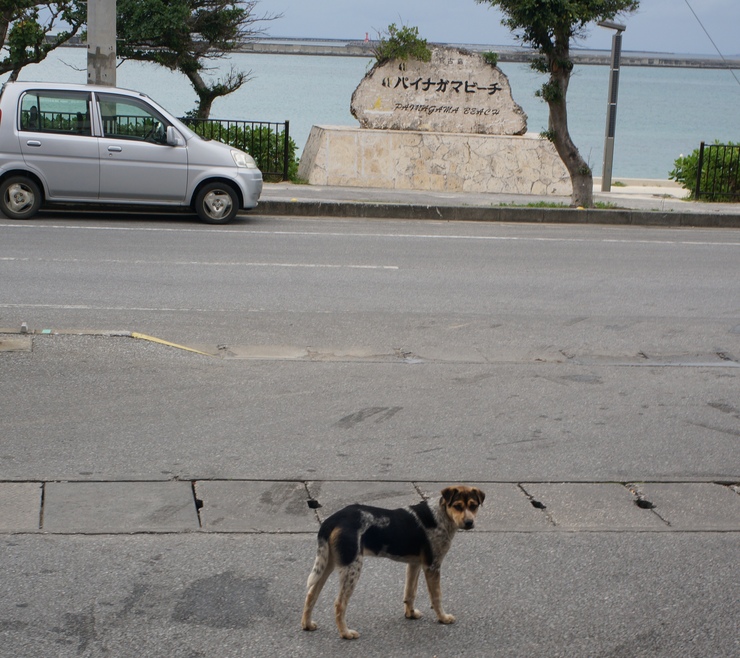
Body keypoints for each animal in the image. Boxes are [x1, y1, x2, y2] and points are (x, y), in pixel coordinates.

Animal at [300, 482, 486, 636]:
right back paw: (346, 633)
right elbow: (436, 596)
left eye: (474, 506)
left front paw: (410, 614)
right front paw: (443, 618)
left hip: (328, 564)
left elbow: (410, 593)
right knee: (339, 604)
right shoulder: (432, 566)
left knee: (311, 594)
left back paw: (307, 625)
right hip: (351, 568)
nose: (469, 523)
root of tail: (331, 520)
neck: (441, 515)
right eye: (457, 506)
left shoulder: (414, 564)